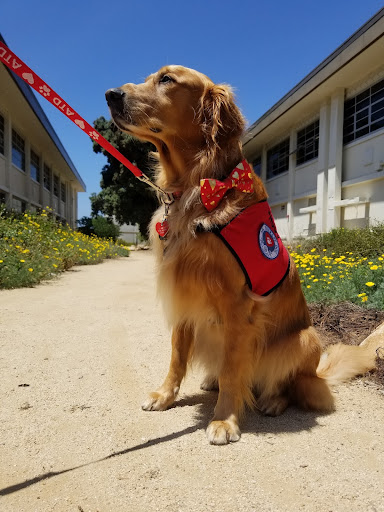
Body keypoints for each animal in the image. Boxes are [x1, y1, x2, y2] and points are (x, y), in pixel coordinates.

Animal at [105, 66, 378, 444]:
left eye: (167, 80)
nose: (110, 95)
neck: (200, 184)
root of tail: (318, 374)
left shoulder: (237, 306)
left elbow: (234, 370)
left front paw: (225, 420)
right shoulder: (184, 296)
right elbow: (176, 355)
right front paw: (165, 395)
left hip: (303, 338)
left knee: (290, 386)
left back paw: (272, 401)